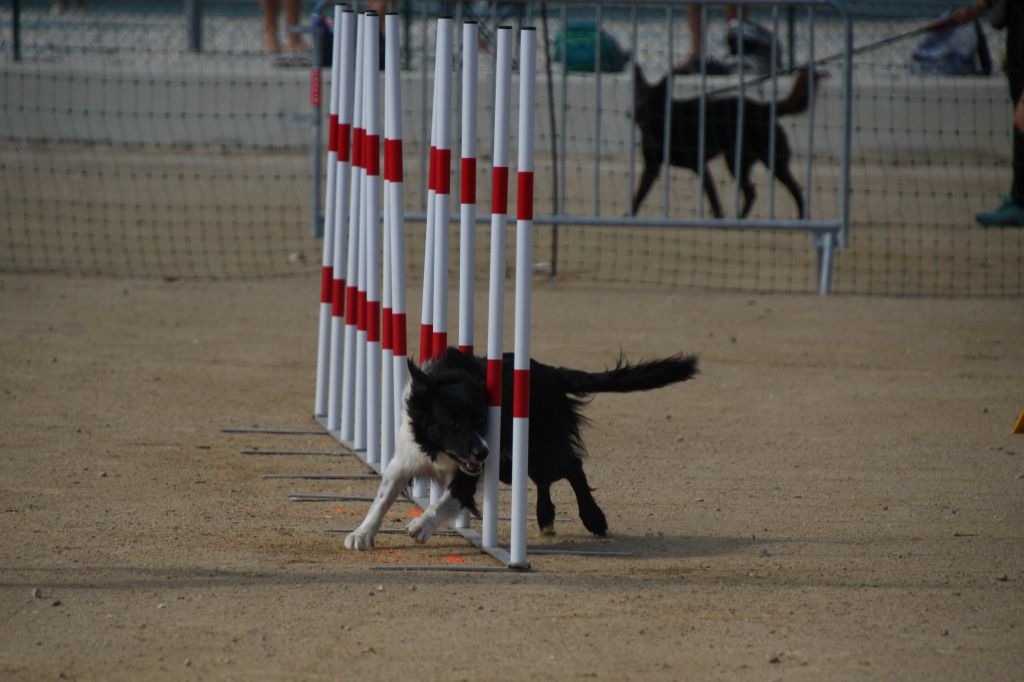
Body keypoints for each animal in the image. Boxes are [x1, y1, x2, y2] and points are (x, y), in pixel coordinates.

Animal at [630, 66, 815, 218]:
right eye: (637, 95)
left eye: (651, 99)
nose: (634, 113)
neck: (662, 123)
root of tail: (764, 109)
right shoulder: (651, 168)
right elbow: (638, 196)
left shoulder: (700, 166)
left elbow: (713, 197)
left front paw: (717, 219)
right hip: (737, 163)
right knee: (750, 192)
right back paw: (740, 219)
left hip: (771, 162)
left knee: (794, 189)